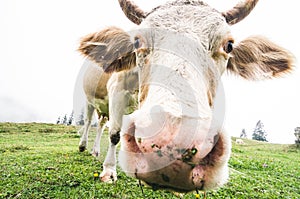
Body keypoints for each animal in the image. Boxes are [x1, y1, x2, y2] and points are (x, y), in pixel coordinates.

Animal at [77, 0, 292, 193]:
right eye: (137, 41)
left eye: (229, 46)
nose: (174, 142)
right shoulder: (117, 91)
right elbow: (114, 134)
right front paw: (108, 172)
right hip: (89, 99)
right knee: (89, 121)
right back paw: (83, 146)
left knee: (100, 123)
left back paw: (95, 150)